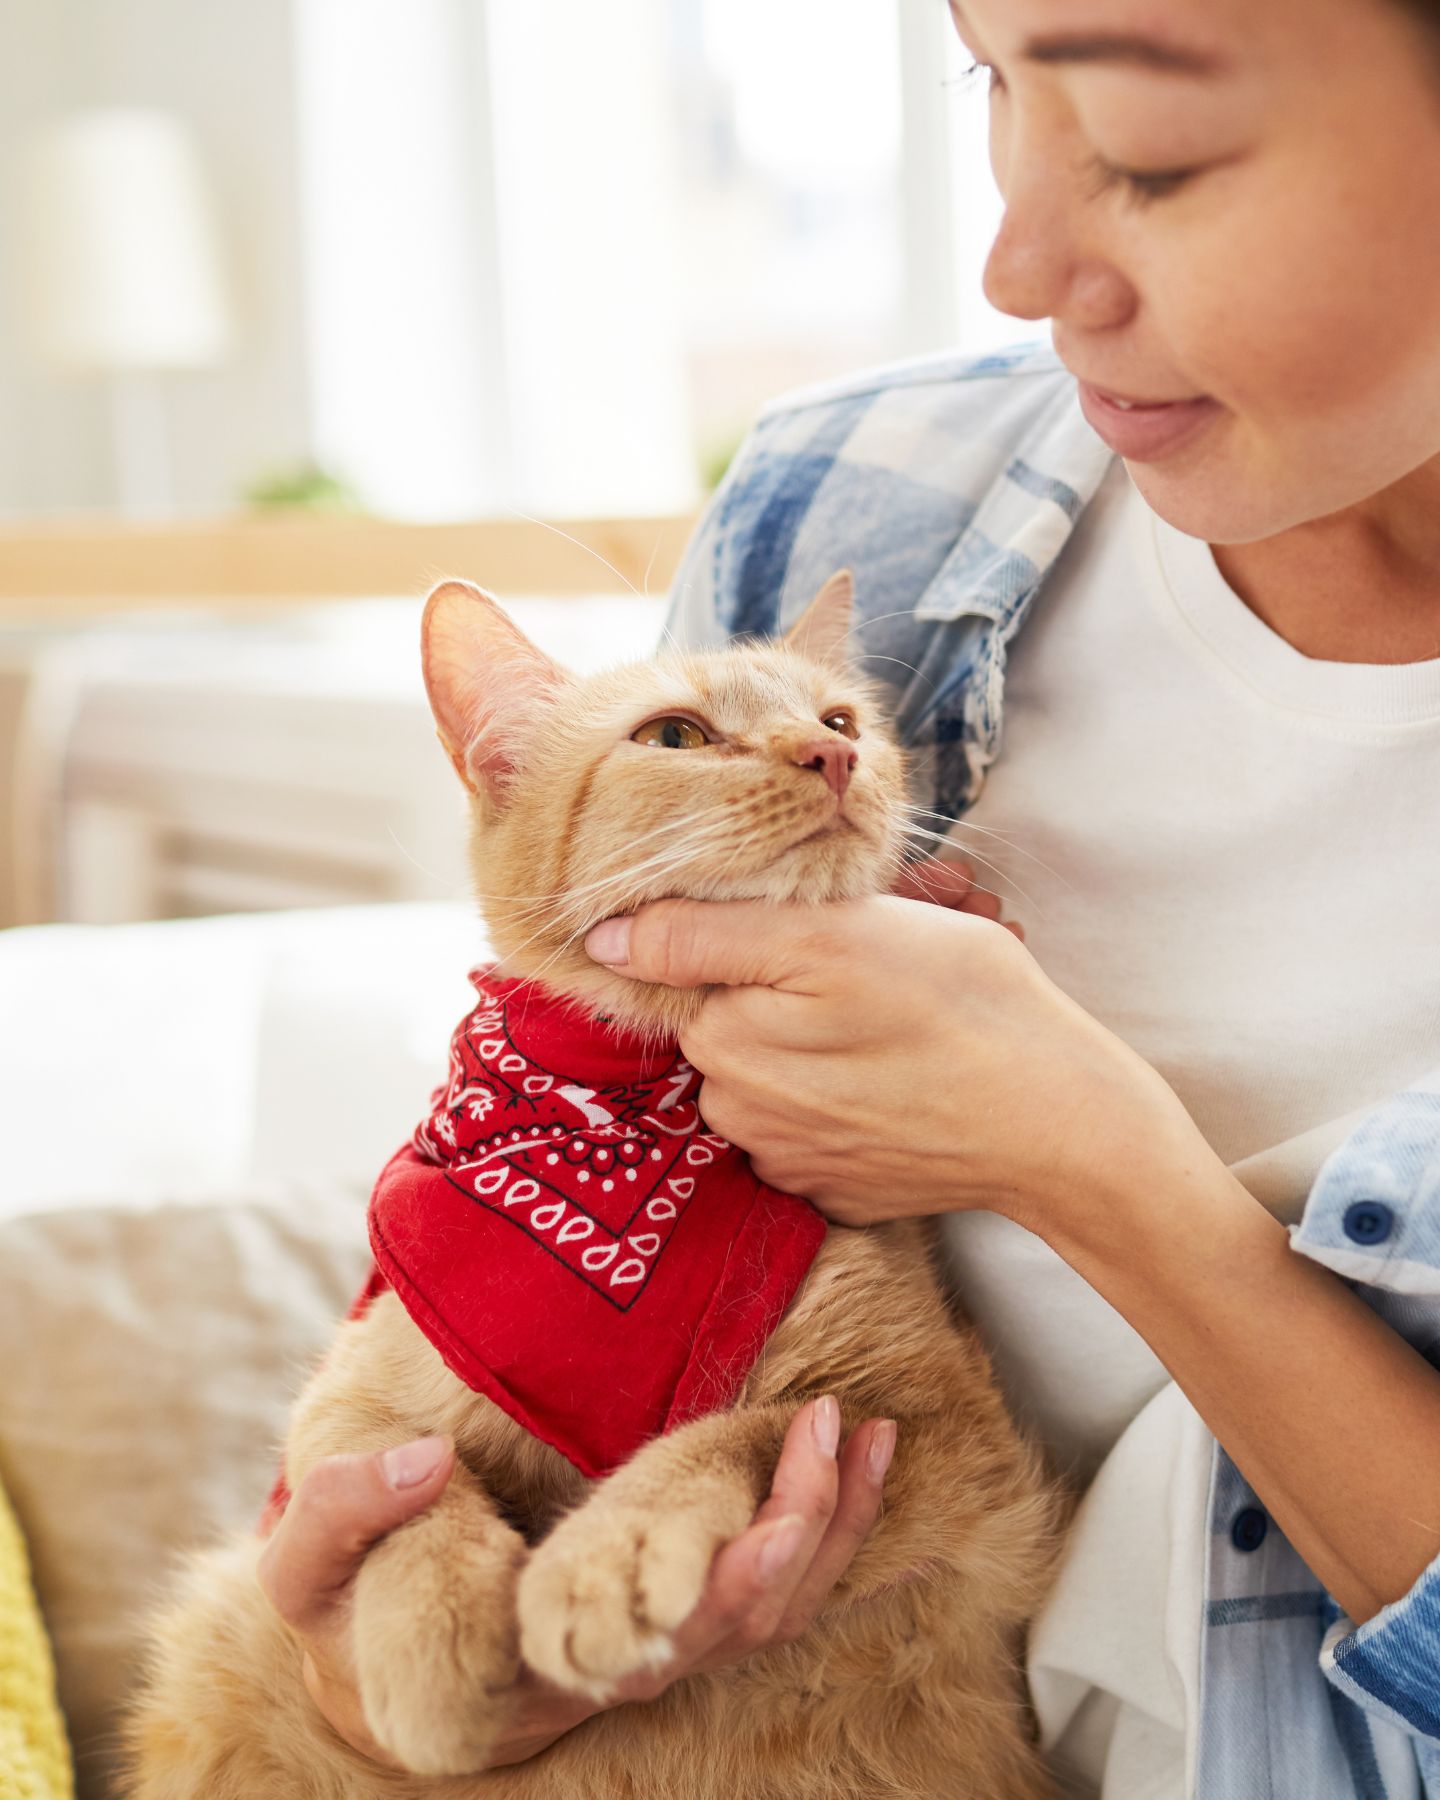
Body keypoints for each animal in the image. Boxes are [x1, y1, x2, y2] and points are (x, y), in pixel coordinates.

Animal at [124, 576, 1065, 1800]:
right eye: (676, 737)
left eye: (840, 719)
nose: (831, 756)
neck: (631, 1117)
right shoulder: (351, 1396)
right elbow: (403, 1485)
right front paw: (433, 1639)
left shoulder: (947, 1432)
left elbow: (738, 1432)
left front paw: (611, 1555)